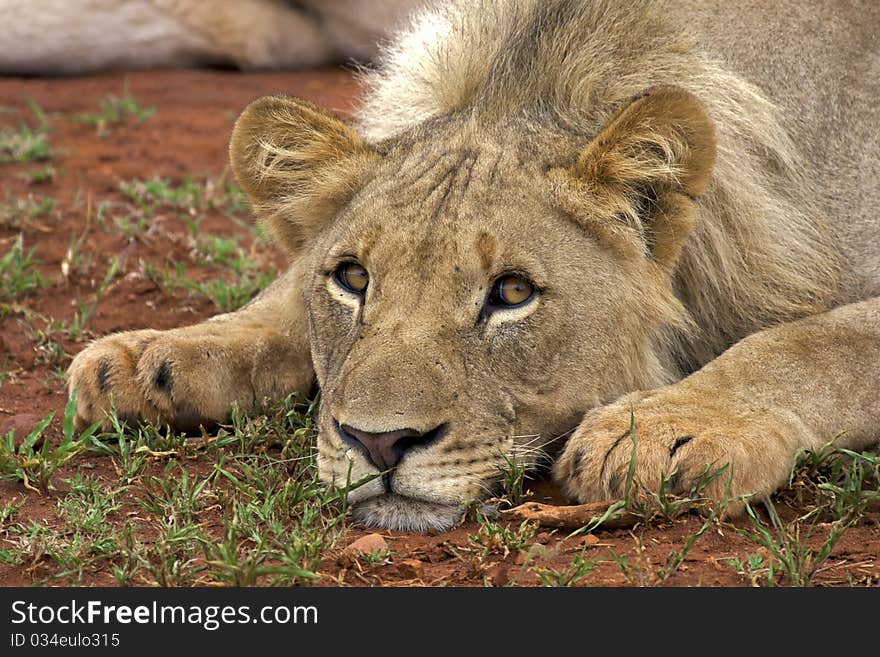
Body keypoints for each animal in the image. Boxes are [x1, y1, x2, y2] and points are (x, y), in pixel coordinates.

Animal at [63, 0, 880, 532]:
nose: (379, 443)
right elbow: (285, 291)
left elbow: (810, 343)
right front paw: (155, 356)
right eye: (353, 278)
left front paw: (660, 431)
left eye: (511, 292)